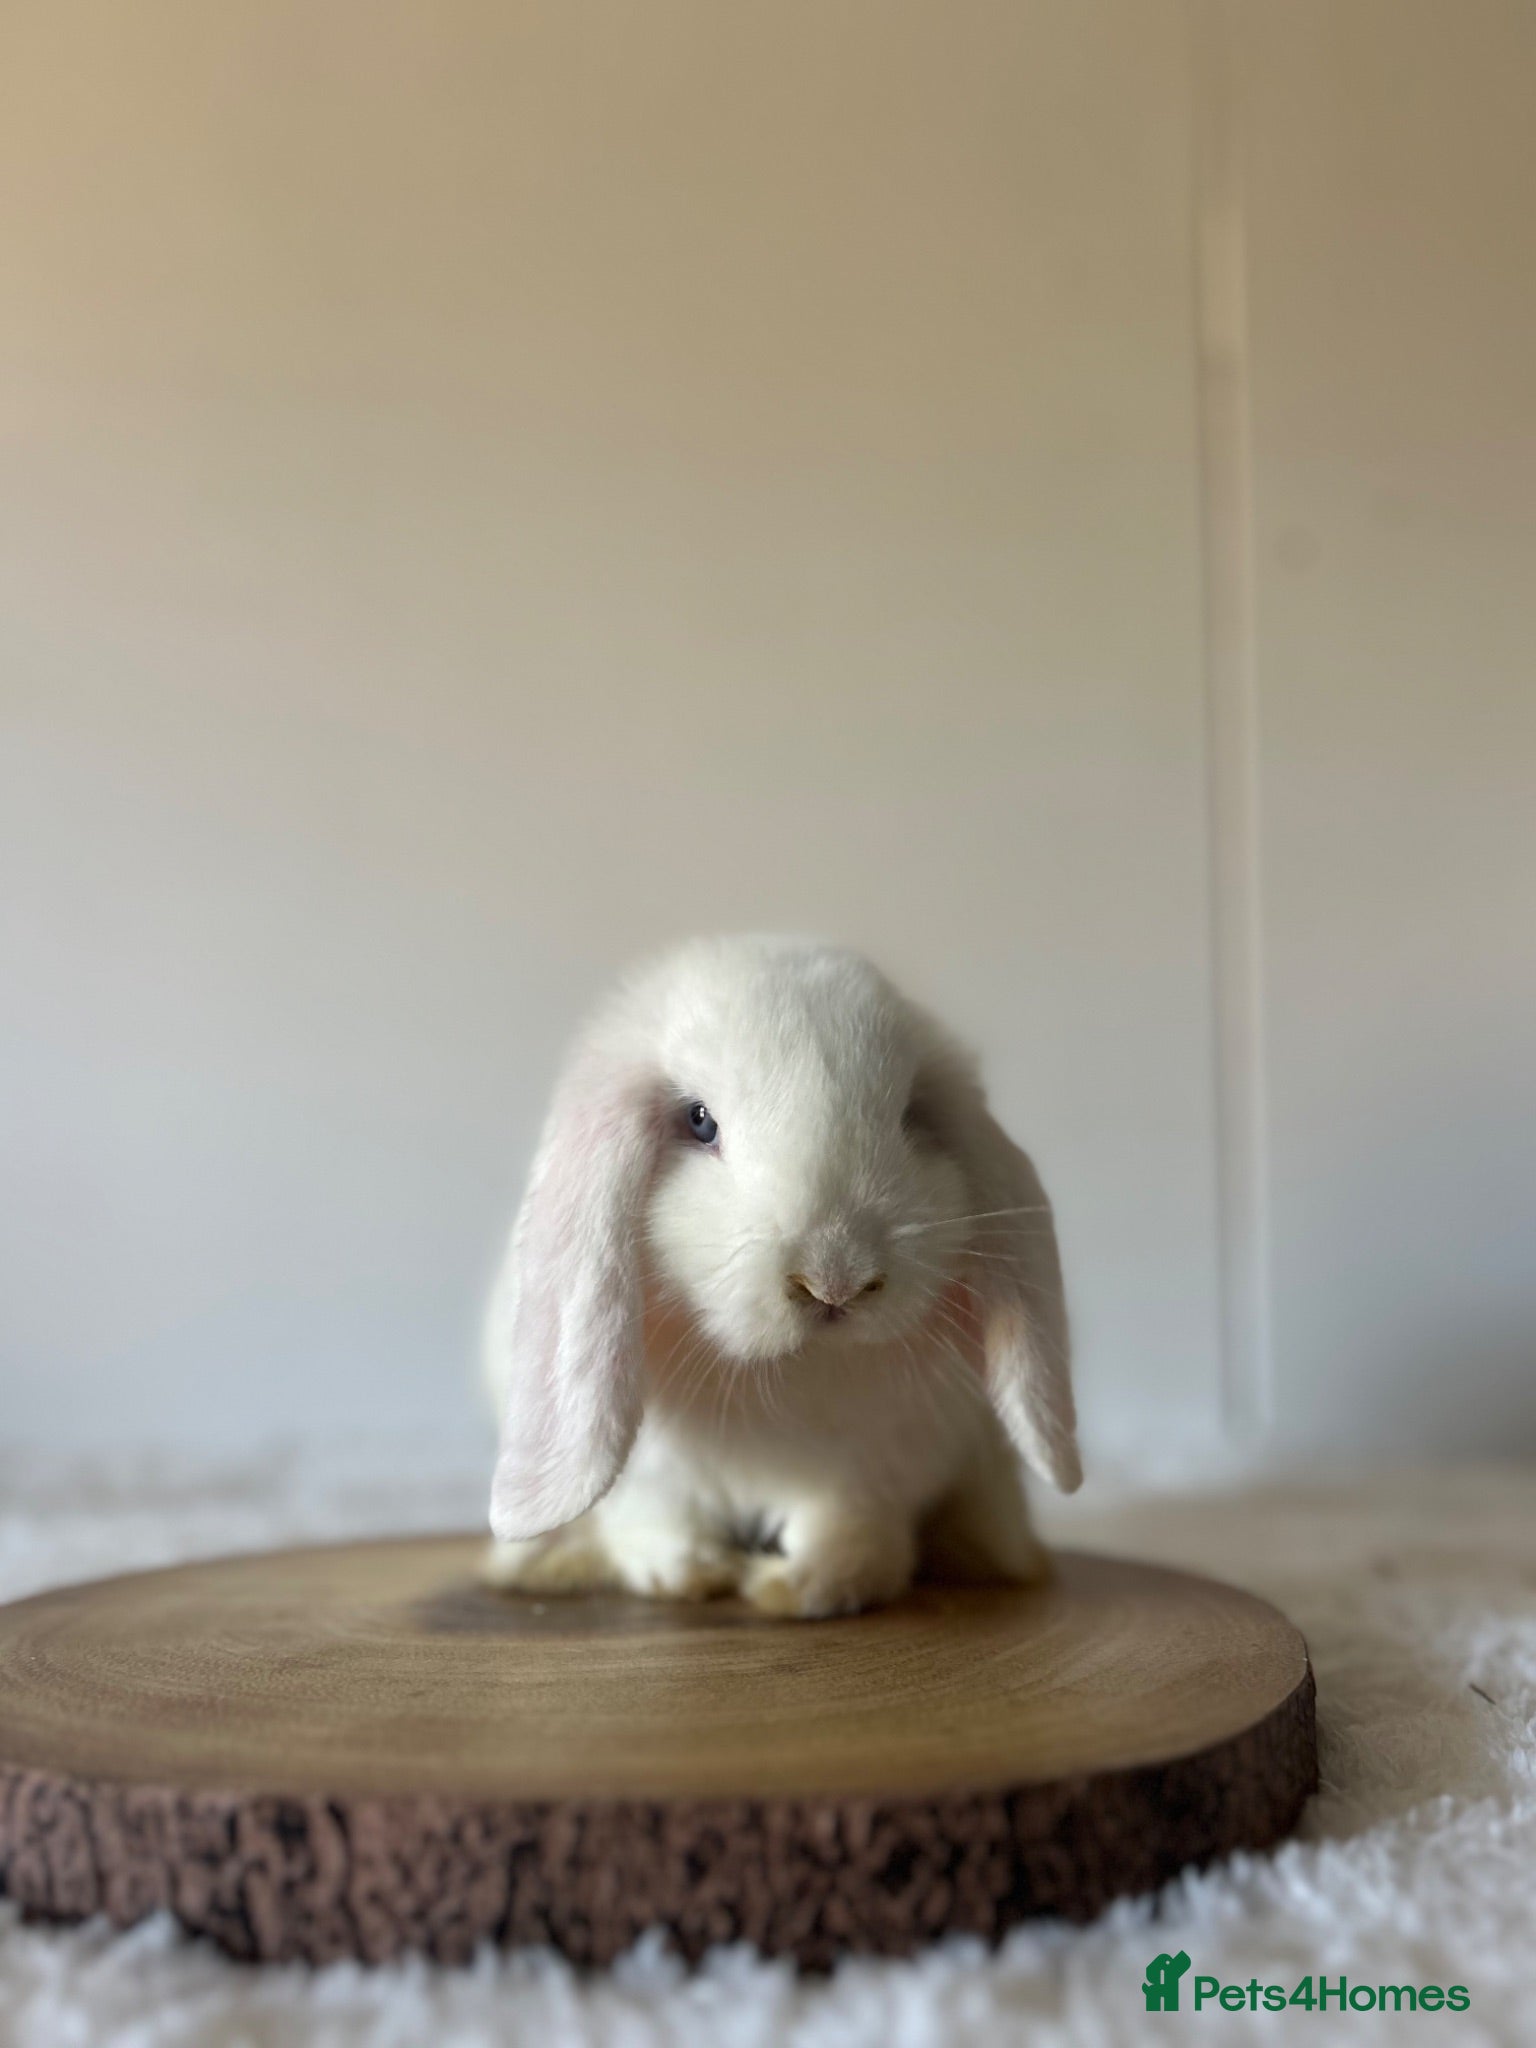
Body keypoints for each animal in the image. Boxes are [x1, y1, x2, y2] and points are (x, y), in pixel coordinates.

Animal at [481, 935, 1080, 1619]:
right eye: (700, 1120)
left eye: (910, 1116)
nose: (834, 1283)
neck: (791, 1377)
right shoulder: (653, 1473)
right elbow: (655, 1521)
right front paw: (693, 1577)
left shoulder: (877, 1465)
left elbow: (851, 1533)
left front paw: (793, 1590)